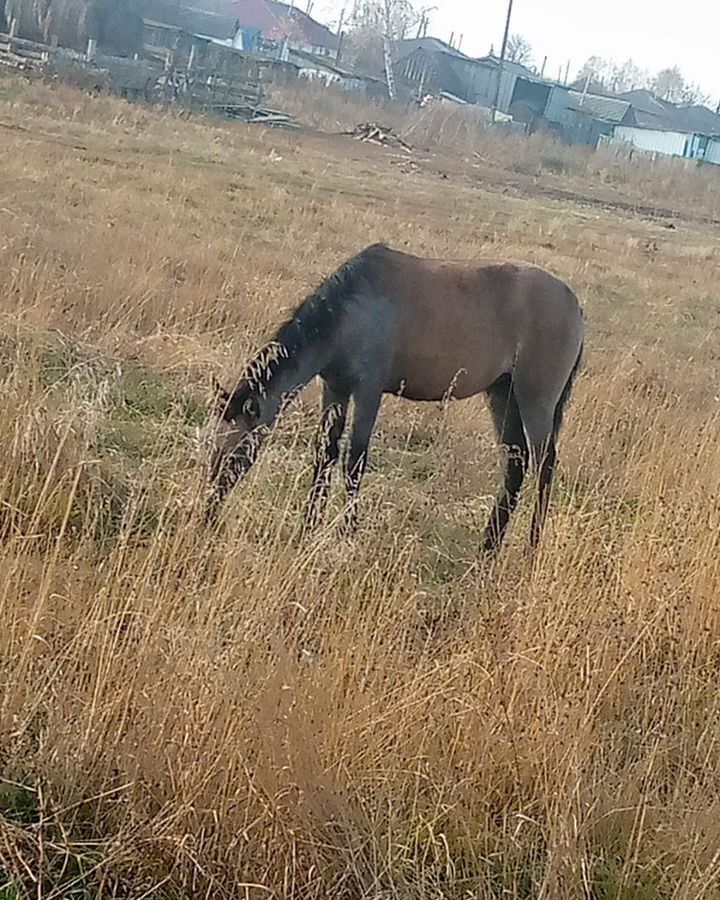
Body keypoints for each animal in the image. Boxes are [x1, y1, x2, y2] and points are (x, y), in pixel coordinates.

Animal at [204, 246, 584, 556]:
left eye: (235, 451)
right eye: (212, 447)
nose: (209, 510)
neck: (350, 311)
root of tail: (576, 305)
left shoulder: (369, 391)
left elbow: (354, 460)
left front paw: (346, 533)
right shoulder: (335, 389)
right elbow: (325, 453)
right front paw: (308, 526)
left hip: (535, 400)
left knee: (545, 465)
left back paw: (530, 550)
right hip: (503, 395)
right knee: (515, 465)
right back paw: (488, 548)